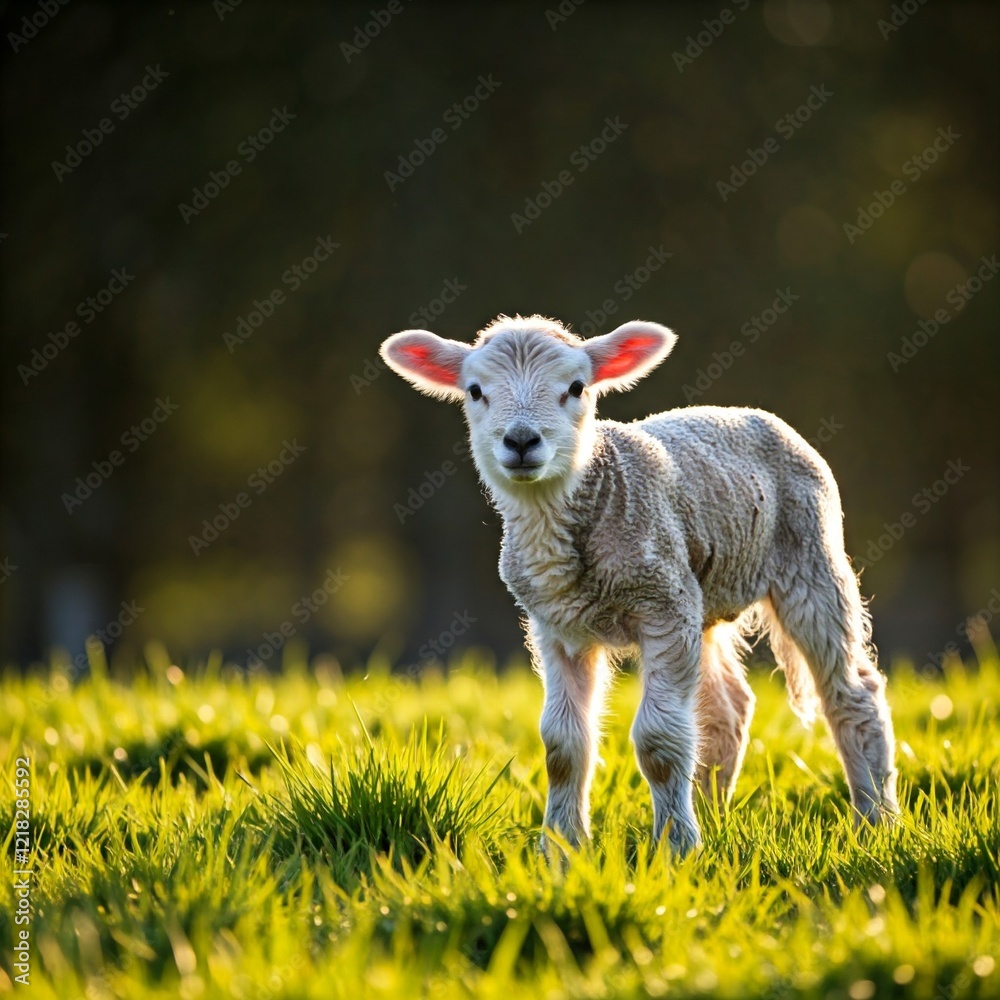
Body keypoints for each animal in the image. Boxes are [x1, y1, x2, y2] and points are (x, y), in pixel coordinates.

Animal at [380, 313, 898, 854]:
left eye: (577, 387)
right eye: (476, 390)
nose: (521, 441)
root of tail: (752, 413)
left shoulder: (662, 608)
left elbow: (659, 742)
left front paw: (676, 849)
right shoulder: (559, 626)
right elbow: (563, 745)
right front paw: (560, 851)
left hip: (809, 559)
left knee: (852, 693)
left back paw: (874, 820)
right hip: (701, 595)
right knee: (727, 707)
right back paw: (712, 812)